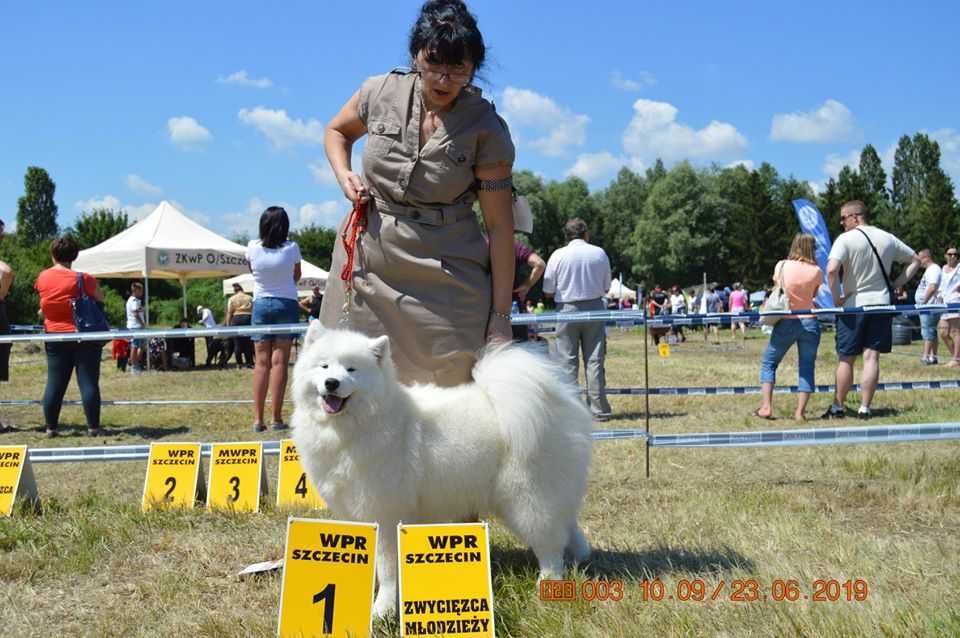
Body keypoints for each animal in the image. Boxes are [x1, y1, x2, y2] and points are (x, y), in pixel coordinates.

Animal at [290, 324, 592, 620]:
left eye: (352, 369)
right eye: (324, 366)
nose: (332, 383)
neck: (357, 425)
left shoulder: (386, 514)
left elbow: (387, 569)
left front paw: (382, 610)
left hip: (527, 498)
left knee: (549, 544)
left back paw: (548, 585)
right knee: (566, 525)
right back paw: (581, 557)